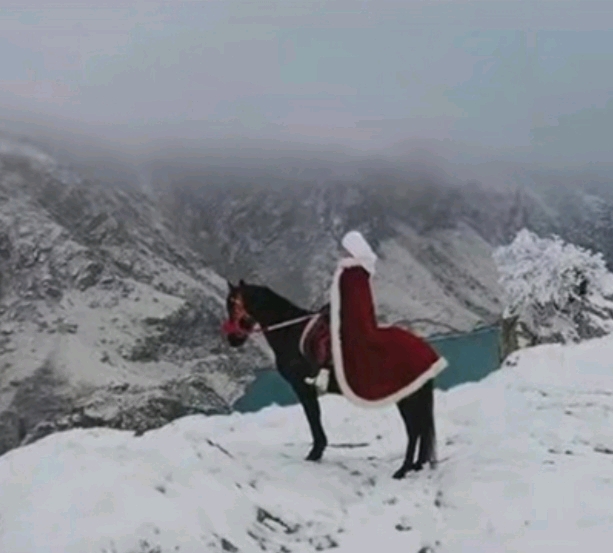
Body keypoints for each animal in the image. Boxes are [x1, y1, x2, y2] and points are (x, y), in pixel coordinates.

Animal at [224, 278, 436, 476]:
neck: (291, 332)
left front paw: (315, 453)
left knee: (414, 430)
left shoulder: (302, 387)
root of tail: (425, 351)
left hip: (407, 398)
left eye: (232, 305)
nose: (233, 339)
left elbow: (313, 417)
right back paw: (416, 465)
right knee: (421, 428)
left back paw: (403, 469)